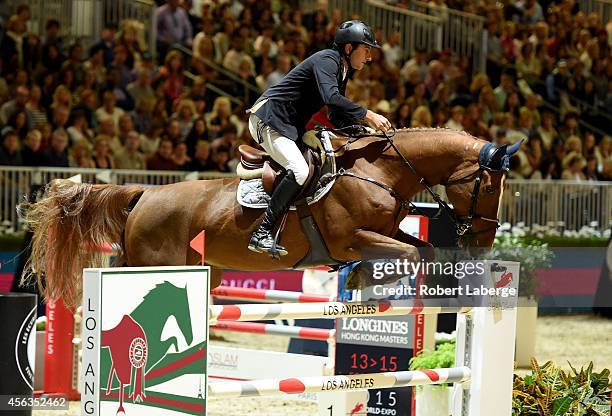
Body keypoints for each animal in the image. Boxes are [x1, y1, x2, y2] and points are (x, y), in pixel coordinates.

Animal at [25, 128, 520, 304]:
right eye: (490, 186)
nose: (483, 243)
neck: (381, 171)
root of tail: (145, 193)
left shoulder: (385, 231)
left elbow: (425, 248)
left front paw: (366, 281)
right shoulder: (349, 238)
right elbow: (409, 255)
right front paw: (364, 278)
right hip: (153, 262)